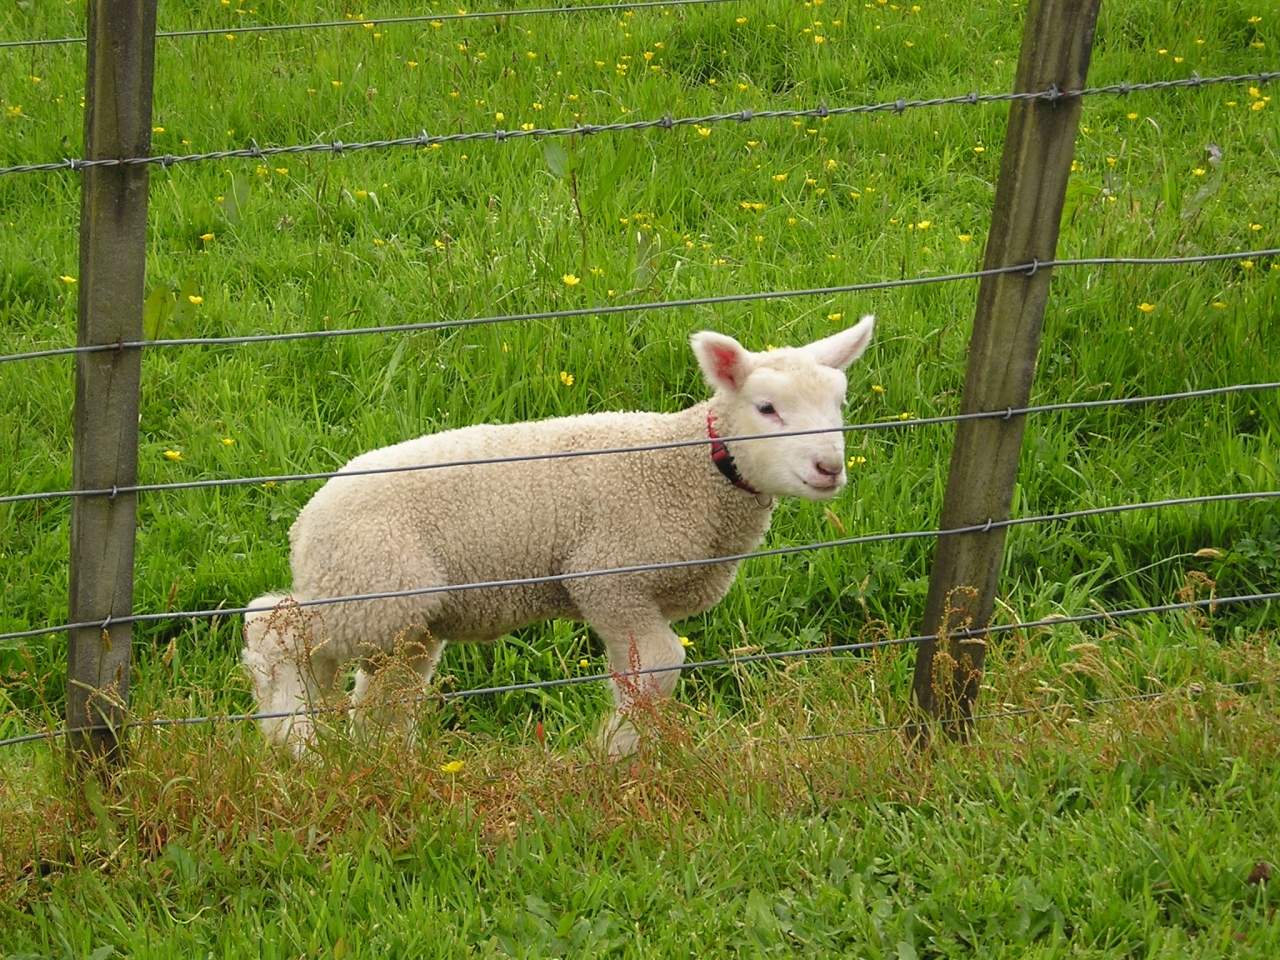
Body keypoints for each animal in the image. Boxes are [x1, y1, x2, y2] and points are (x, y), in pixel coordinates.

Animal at [244, 320, 875, 757]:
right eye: (767, 408)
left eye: (839, 405)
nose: (829, 468)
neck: (691, 468)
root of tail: (308, 520)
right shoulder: (607, 575)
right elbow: (661, 664)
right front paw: (616, 751)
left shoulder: (631, 596)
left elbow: (639, 673)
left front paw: (624, 745)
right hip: (375, 586)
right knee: (273, 626)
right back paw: (295, 738)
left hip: (401, 614)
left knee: (381, 683)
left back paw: (374, 757)